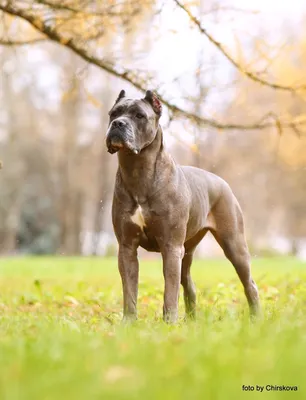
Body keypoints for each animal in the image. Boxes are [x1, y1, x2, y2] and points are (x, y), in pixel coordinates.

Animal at [106, 89, 260, 324]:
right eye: (113, 113)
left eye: (139, 115)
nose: (117, 124)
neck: (137, 169)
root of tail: (222, 182)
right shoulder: (127, 247)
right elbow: (129, 289)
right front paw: (129, 322)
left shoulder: (171, 246)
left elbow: (170, 290)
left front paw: (169, 322)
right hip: (187, 252)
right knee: (189, 284)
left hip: (234, 244)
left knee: (249, 284)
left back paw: (256, 318)